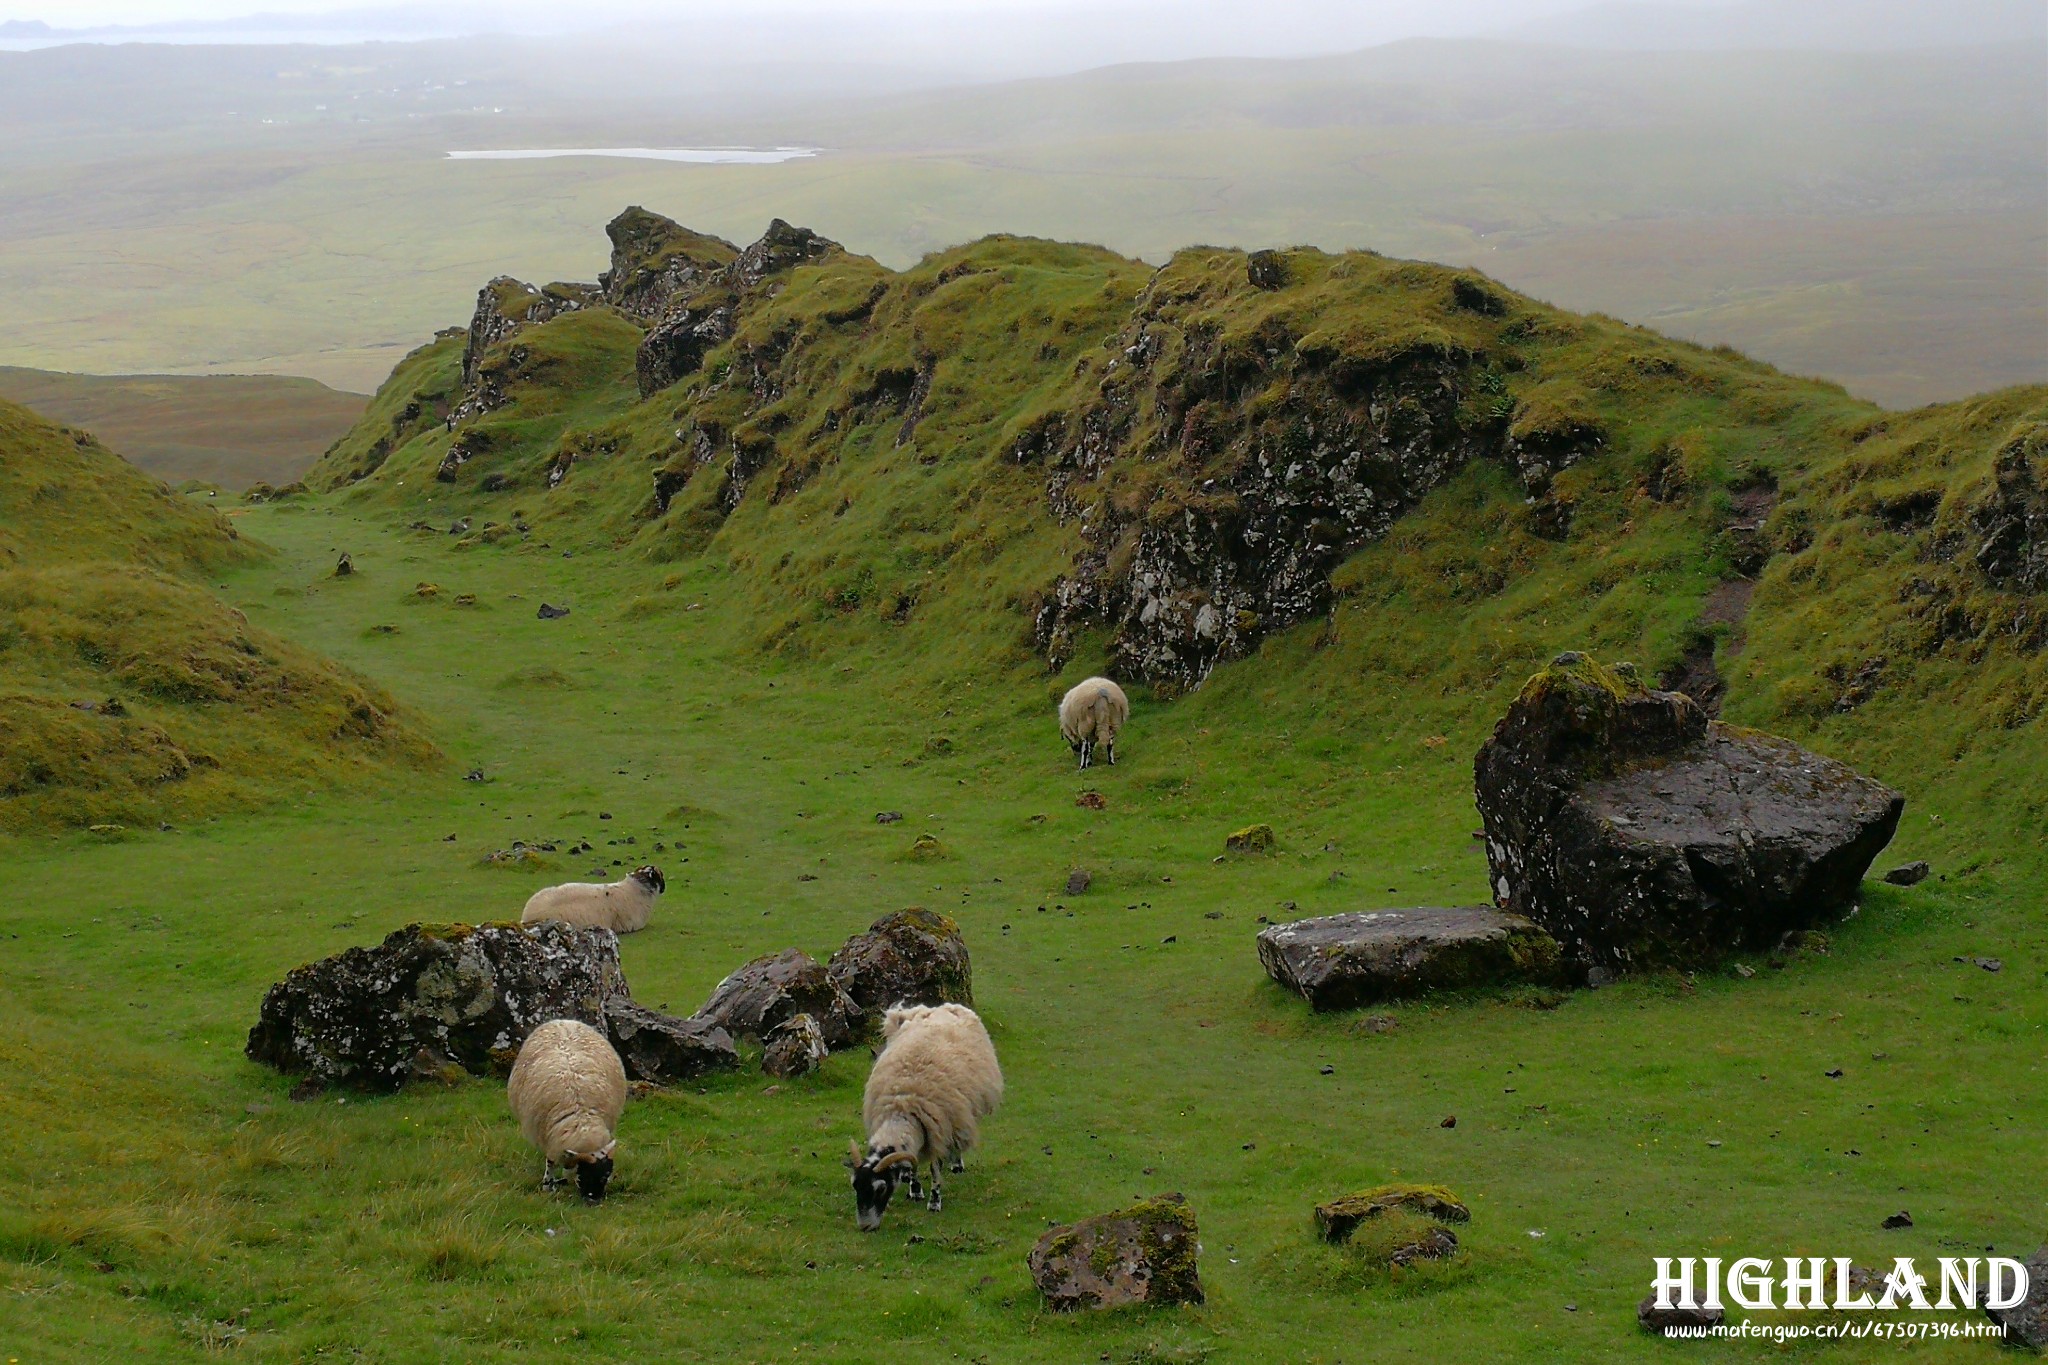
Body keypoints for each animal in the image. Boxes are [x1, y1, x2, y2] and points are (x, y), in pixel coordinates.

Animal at [505, 1019, 622, 1203]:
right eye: (582, 1175)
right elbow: (551, 1162)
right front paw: (548, 1186)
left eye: (605, 1176)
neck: (582, 1119)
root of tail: (563, 1021)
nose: (593, 1202)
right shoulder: (549, 1136)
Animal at [843, 998, 1003, 1236]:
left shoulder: (937, 1127)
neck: (902, 1108)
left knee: (958, 1138)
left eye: (881, 1189)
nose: (865, 1227)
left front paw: (934, 1202)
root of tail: (943, 1006)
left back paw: (957, 1163)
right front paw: (915, 1190)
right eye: (855, 1185)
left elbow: (935, 1169)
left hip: (960, 1111)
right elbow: (913, 1163)